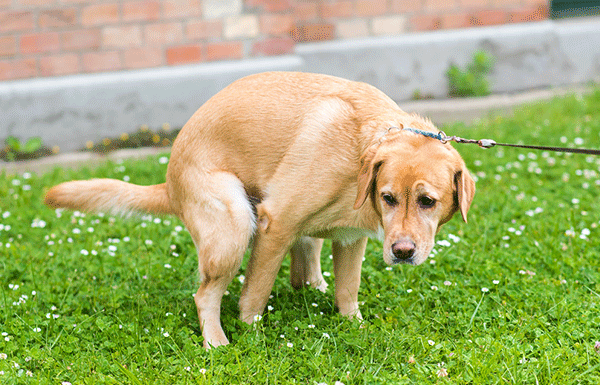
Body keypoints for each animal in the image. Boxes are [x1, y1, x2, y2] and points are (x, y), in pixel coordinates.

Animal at [44, 70, 476, 346]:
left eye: (427, 201)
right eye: (389, 198)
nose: (402, 252)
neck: (360, 152)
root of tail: (169, 183)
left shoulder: (352, 239)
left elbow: (348, 290)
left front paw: (353, 324)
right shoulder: (276, 223)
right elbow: (254, 293)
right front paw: (250, 331)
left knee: (305, 267)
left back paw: (313, 286)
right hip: (233, 226)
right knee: (206, 295)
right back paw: (216, 341)